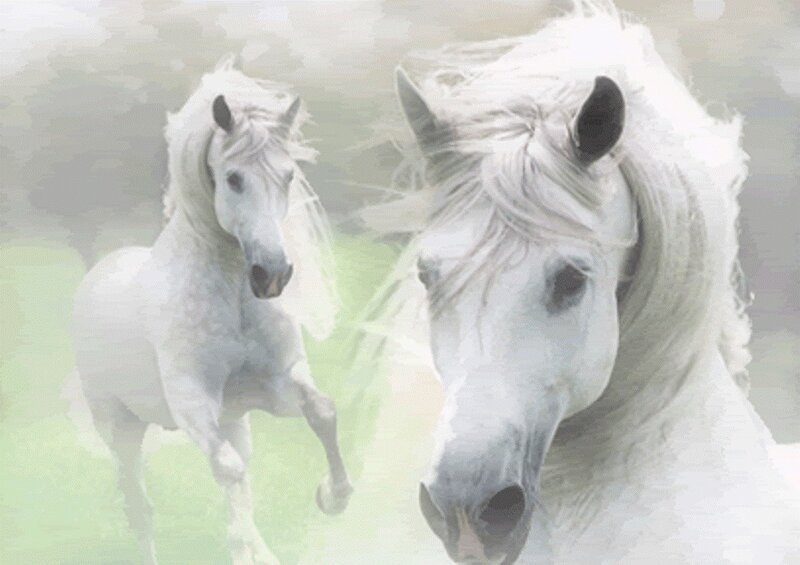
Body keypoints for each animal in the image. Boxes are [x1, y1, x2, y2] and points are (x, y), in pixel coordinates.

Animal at [71, 61, 352, 565]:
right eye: (234, 178)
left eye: (288, 176)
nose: (272, 274)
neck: (233, 302)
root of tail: (98, 274)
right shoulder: (192, 404)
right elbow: (228, 471)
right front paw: (247, 545)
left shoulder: (274, 388)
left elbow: (322, 412)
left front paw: (331, 496)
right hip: (120, 429)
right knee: (140, 509)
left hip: (234, 423)